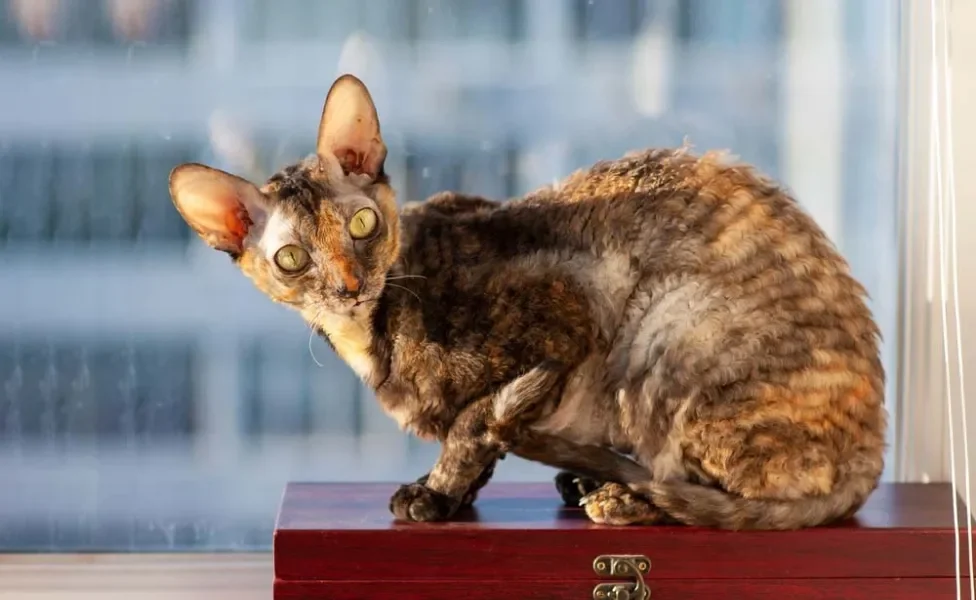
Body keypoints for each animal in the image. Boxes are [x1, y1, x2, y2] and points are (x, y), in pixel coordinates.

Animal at [168, 74, 884, 528]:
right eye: (292, 259)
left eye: (363, 225)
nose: (349, 284)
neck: (367, 336)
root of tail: (873, 451)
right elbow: (481, 433)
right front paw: (451, 494)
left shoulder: (571, 319)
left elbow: (473, 422)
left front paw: (435, 493)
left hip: (666, 326)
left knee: (750, 496)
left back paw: (621, 498)